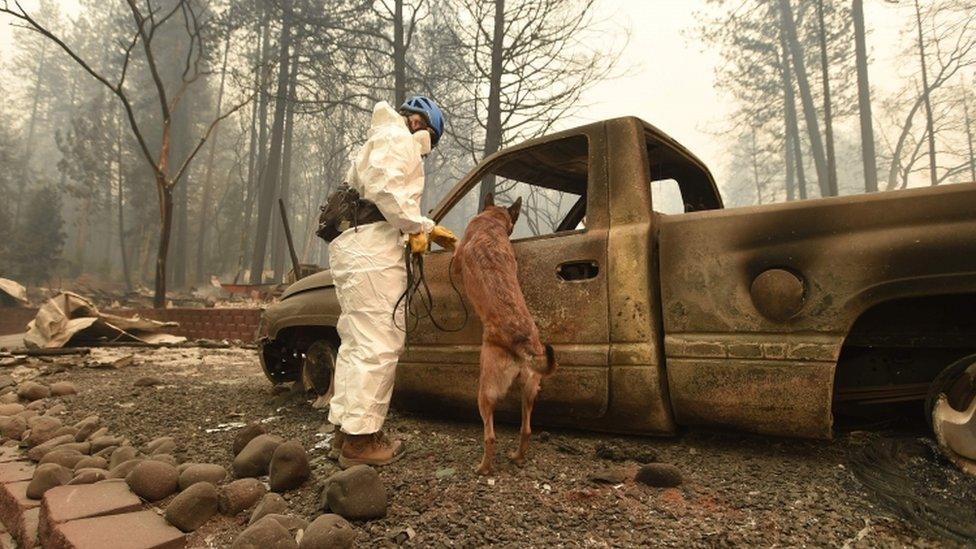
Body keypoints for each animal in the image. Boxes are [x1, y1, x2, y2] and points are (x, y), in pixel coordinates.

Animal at [450, 194, 556, 476]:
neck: (492, 223)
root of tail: (522, 344)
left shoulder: (457, 258)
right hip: (529, 390)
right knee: (526, 429)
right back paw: (518, 457)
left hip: (485, 392)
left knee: (490, 436)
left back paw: (484, 468)